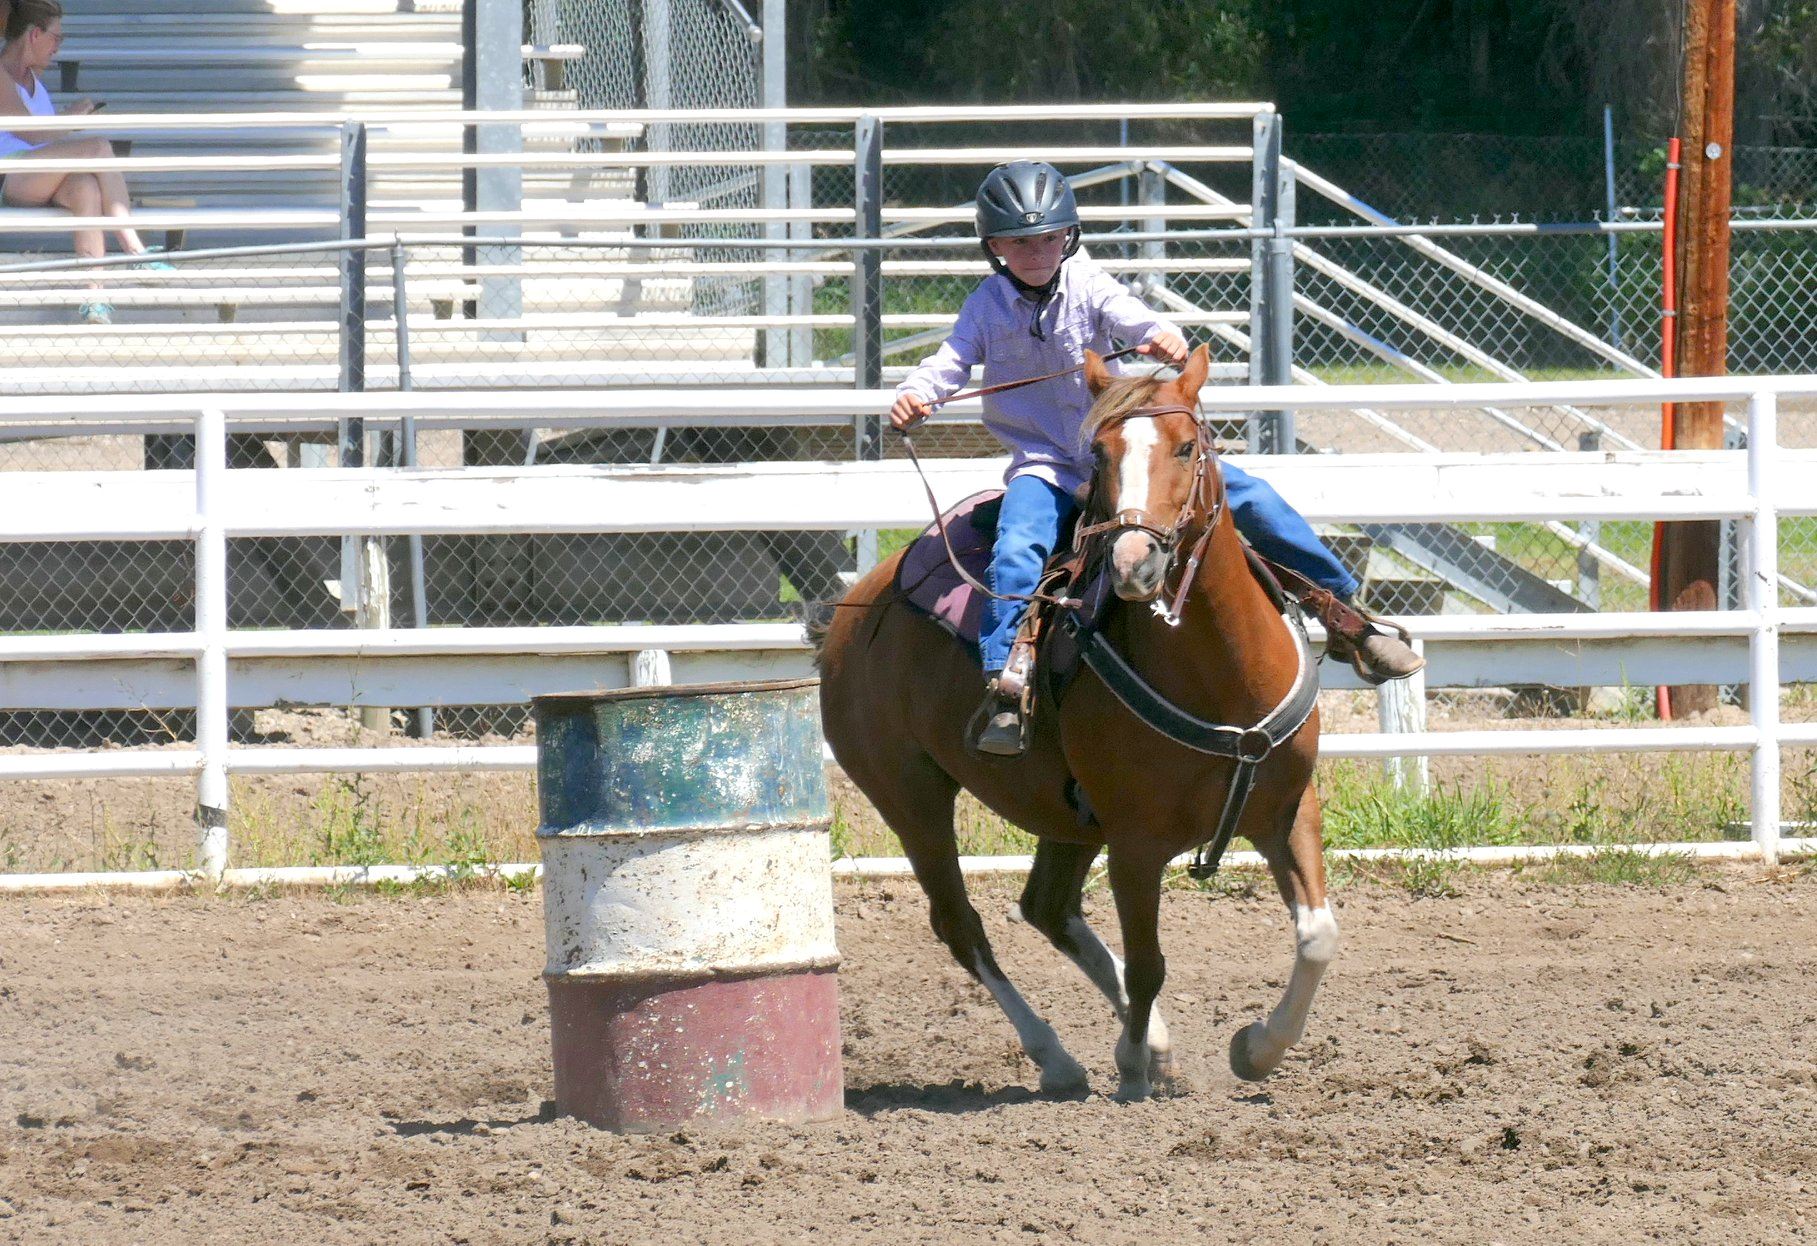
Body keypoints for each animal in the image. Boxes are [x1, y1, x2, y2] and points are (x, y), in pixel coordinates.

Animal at [821, 343, 1337, 1104]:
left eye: (1187, 447)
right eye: (1098, 454)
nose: (1133, 561)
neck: (1225, 677)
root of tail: (853, 608)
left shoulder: (1287, 809)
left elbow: (1317, 935)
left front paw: (1255, 1049)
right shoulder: (1136, 843)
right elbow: (1149, 963)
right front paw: (1132, 1066)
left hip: (1065, 817)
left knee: (1046, 906)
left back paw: (1151, 1048)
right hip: (909, 796)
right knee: (961, 924)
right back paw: (1059, 1057)